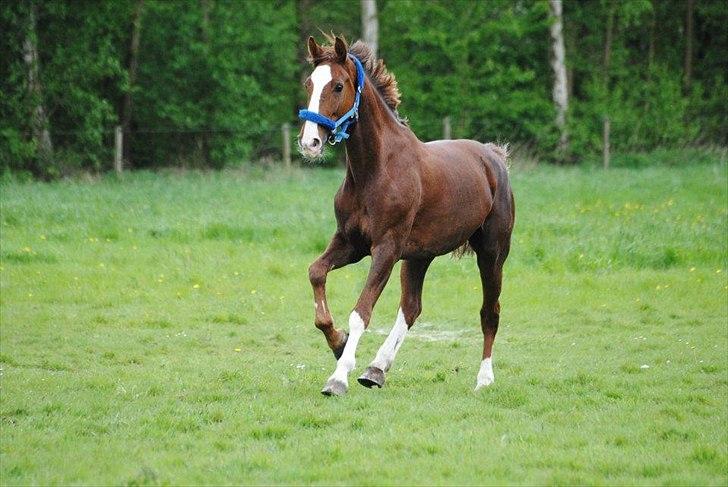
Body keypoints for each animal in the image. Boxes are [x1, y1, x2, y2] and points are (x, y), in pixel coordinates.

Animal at [298, 37, 516, 396]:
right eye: (309, 84)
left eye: (338, 86)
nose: (309, 142)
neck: (375, 170)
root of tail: (493, 156)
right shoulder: (350, 243)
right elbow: (316, 273)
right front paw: (338, 342)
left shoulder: (385, 249)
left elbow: (361, 311)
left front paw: (338, 377)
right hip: (418, 256)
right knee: (411, 307)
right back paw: (376, 370)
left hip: (492, 253)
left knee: (491, 311)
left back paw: (484, 379)